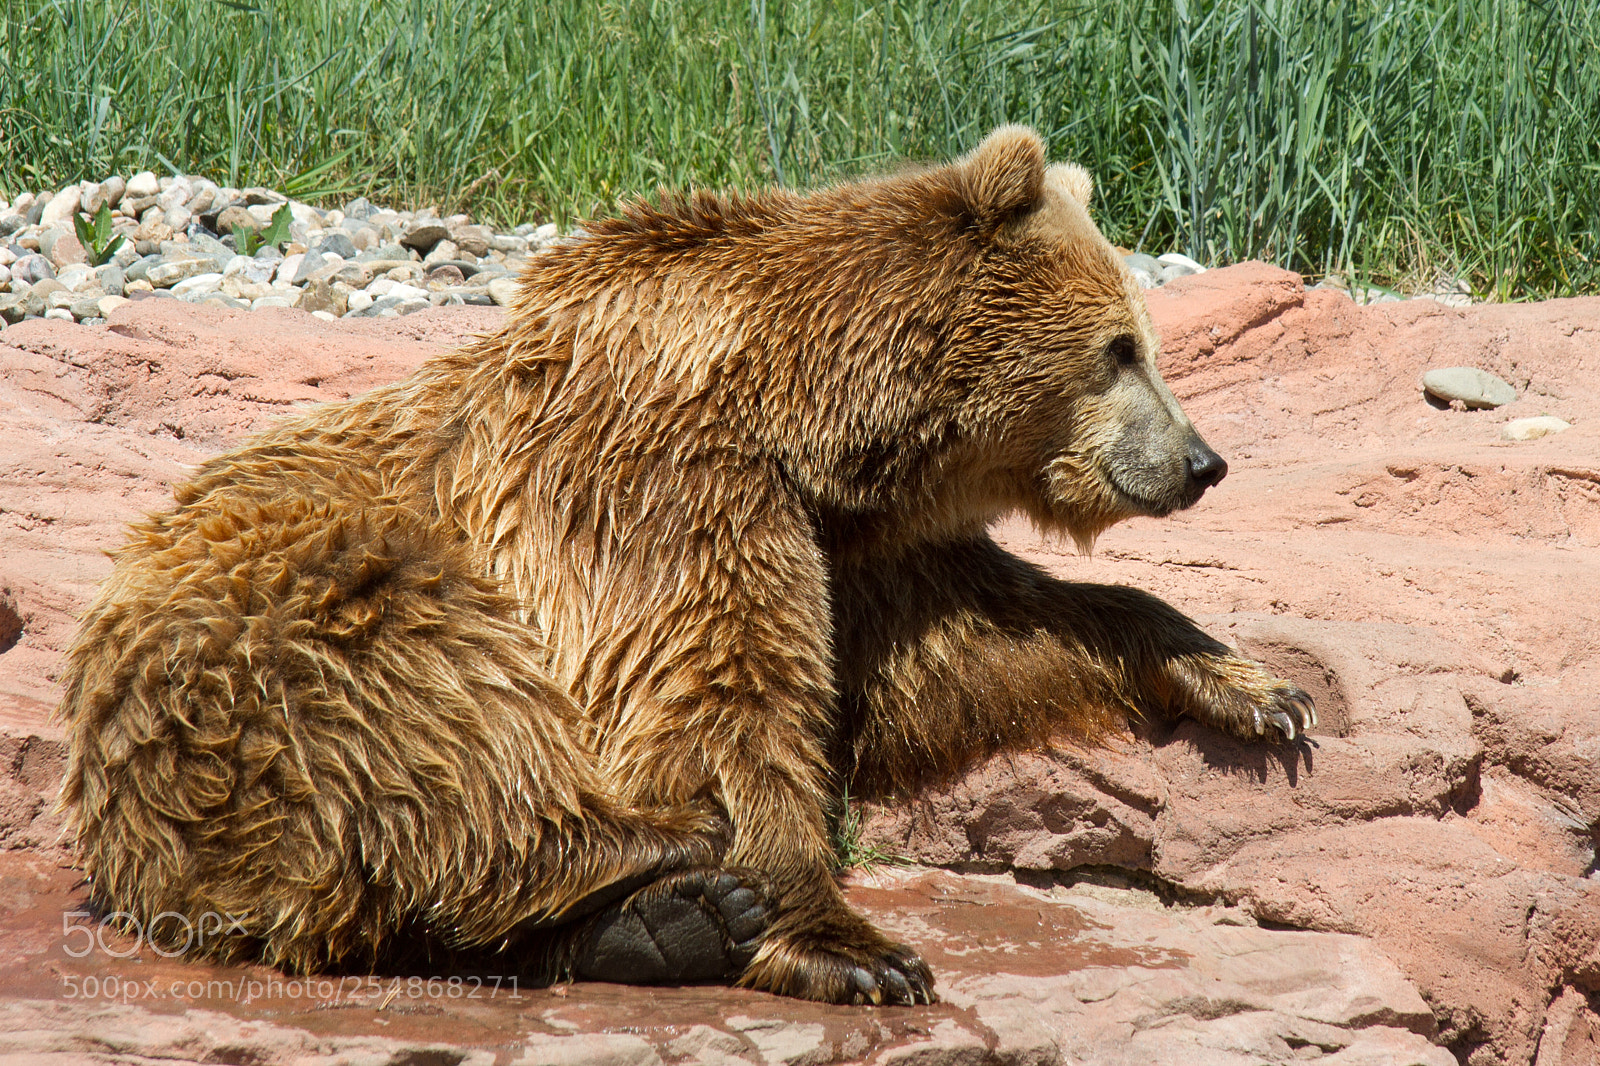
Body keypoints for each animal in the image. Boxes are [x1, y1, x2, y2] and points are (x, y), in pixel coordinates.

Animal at [58, 125, 1314, 1007]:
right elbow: (715, 691)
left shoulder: (856, 546)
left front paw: (1254, 686)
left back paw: (664, 922)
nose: (1199, 461)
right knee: (430, 714)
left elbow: (975, 645)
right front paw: (852, 943)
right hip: (280, 635)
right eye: (1121, 348)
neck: (808, 413)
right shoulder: (661, 479)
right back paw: (657, 858)